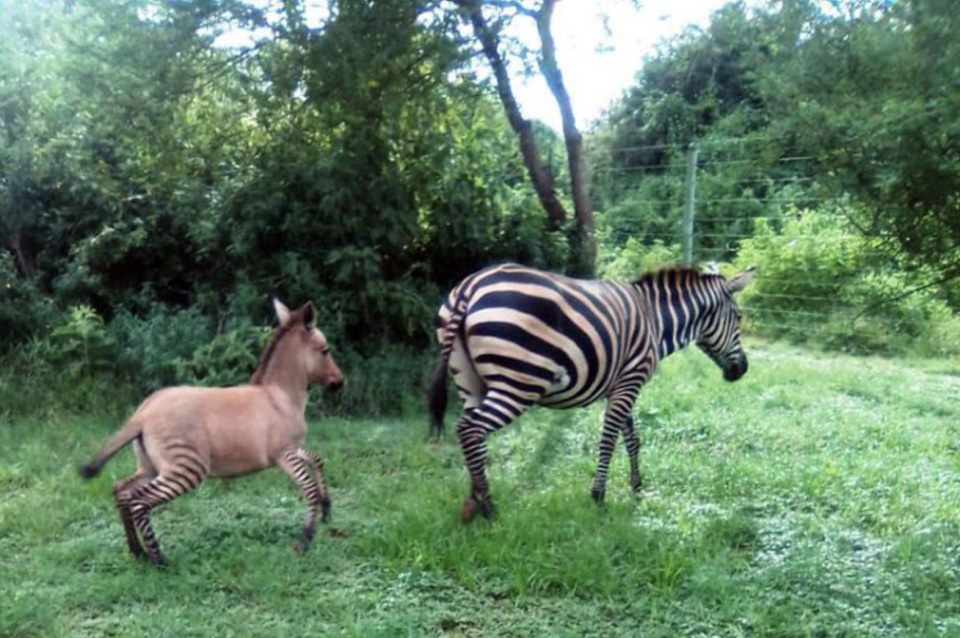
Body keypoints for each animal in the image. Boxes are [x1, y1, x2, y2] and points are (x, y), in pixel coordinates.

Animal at [430, 262, 756, 524]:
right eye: (739, 317)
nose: (742, 370)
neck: (656, 320)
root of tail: (470, 287)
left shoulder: (622, 384)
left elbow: (632, 438)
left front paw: (637, 487)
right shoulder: (630, 381)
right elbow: (609, 439)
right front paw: (598, 495)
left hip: (469, 381)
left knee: (471, 435)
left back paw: (474, 500)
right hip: (518, 383)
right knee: (470, 429)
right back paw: (488, 508)